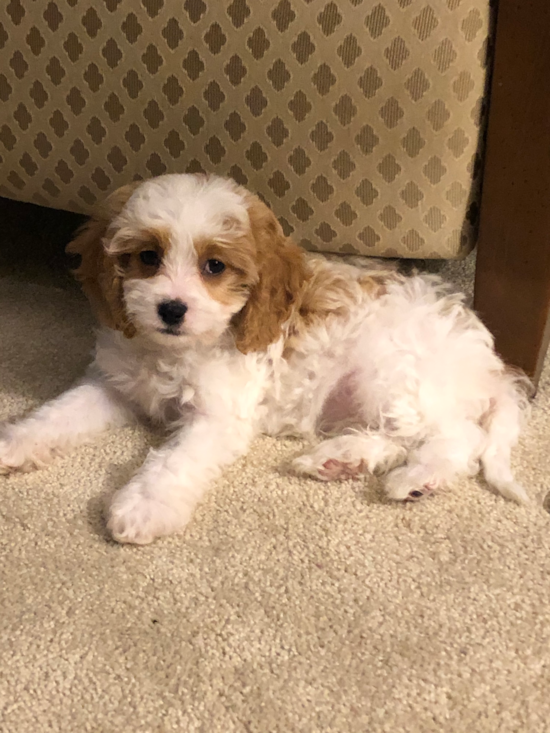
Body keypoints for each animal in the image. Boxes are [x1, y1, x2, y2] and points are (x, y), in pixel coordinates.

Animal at [0, 174, 536, 540]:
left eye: (214, 266)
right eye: (148, 257)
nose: (171, 308)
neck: (175, 349)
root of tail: (492, 367)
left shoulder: (218, 417)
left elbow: (173, 461)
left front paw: (143, 507)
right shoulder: (111, 385)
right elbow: (55, 414)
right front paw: (14, 443)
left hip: (395, 376)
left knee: (457, 437)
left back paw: (416, 478)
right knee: (397, 437)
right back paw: (341, 460)